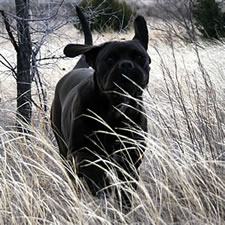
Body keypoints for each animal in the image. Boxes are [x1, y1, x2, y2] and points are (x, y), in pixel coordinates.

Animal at [50, 5, 150, 209]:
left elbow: (125, 190)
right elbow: (94, 167)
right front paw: (102, 187)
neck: (113, 109)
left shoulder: (131, 158)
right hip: (63, 148)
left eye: (140, 57)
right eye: (109, 58)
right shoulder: (80, 151)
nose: (126, 65)